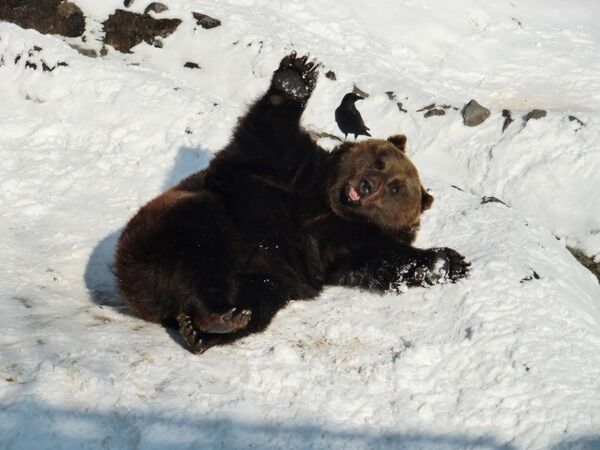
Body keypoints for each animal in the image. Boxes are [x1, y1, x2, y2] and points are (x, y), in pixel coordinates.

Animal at [115, 52, 469, 354]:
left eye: (396, 188)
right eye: (379, 161)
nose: (366, 186)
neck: (330, 203)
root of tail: (151, 301)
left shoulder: (344, 244)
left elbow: (385, 261)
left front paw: (447, 262)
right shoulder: (286, 174)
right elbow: (269, 134)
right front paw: (295, 78)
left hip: (264, 277)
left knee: (255, 300)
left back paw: (208, 326)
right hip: (175, 225)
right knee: (201, 237)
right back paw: (215, 315)